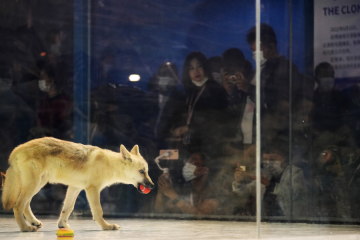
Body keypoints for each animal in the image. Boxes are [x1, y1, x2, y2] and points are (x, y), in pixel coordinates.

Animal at [1, 138, 155, 232]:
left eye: (147, 171)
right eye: (142, 172)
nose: (152, 185)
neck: (109, 164)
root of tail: (16, 150)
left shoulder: (75, 188)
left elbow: (67, 209)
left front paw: (62, 225)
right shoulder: (92, 189)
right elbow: (98, 211)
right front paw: (106, 226)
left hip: (38, 184)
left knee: (26, 204)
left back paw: (34, 222)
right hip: (33, 185)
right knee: (18, 205)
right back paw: (25, 228)